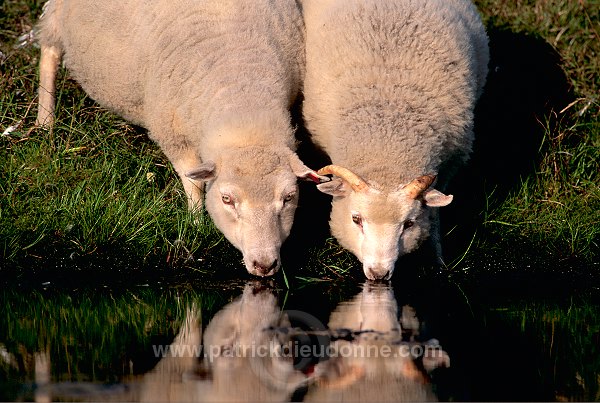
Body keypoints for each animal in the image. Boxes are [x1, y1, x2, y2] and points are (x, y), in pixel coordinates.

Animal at [34, 0, 326, 278]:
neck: (239, 86)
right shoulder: (173, 133)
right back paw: (45, 121)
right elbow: (192, 181)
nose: (264, 264)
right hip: (59, 16)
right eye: (227, 199)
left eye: (288, 198)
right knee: (49, 48)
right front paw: (196, 222)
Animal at [302, 0, 490, 280]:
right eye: (356, 219)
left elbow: (434, 217)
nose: (379, 274)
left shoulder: (450, 163)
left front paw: (437, 259)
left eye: (409, 224)